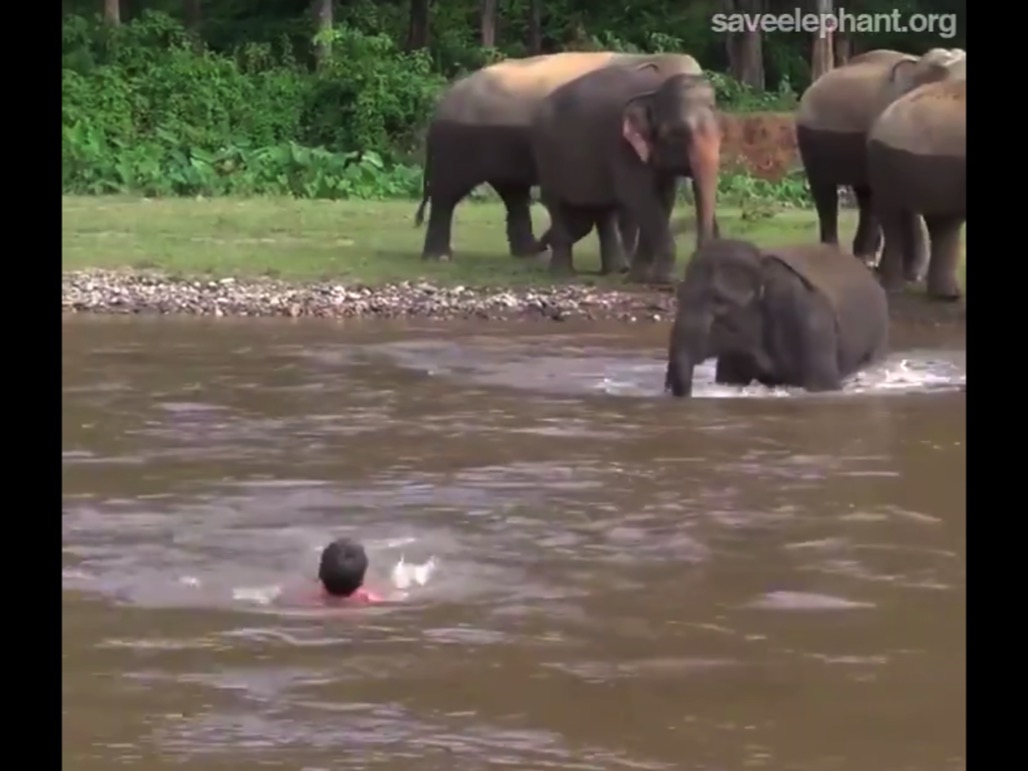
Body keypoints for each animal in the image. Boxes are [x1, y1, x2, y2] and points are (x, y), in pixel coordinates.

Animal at [414, 51, 702, 262]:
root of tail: (441, 105)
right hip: (459, 144)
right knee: (448, 193)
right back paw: (439, 258)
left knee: (513, 193)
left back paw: (527, 255)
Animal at [530, 67, 720, 284]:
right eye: (677, 133)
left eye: (721, 132)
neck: (655, 89)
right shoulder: (622, 147)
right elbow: (639, 196)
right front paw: (664, 279)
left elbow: (663, 198)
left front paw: (641, 277)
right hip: (545, 156)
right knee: (557, 206)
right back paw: (563, 274)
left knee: (602, 213)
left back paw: (614, 271)